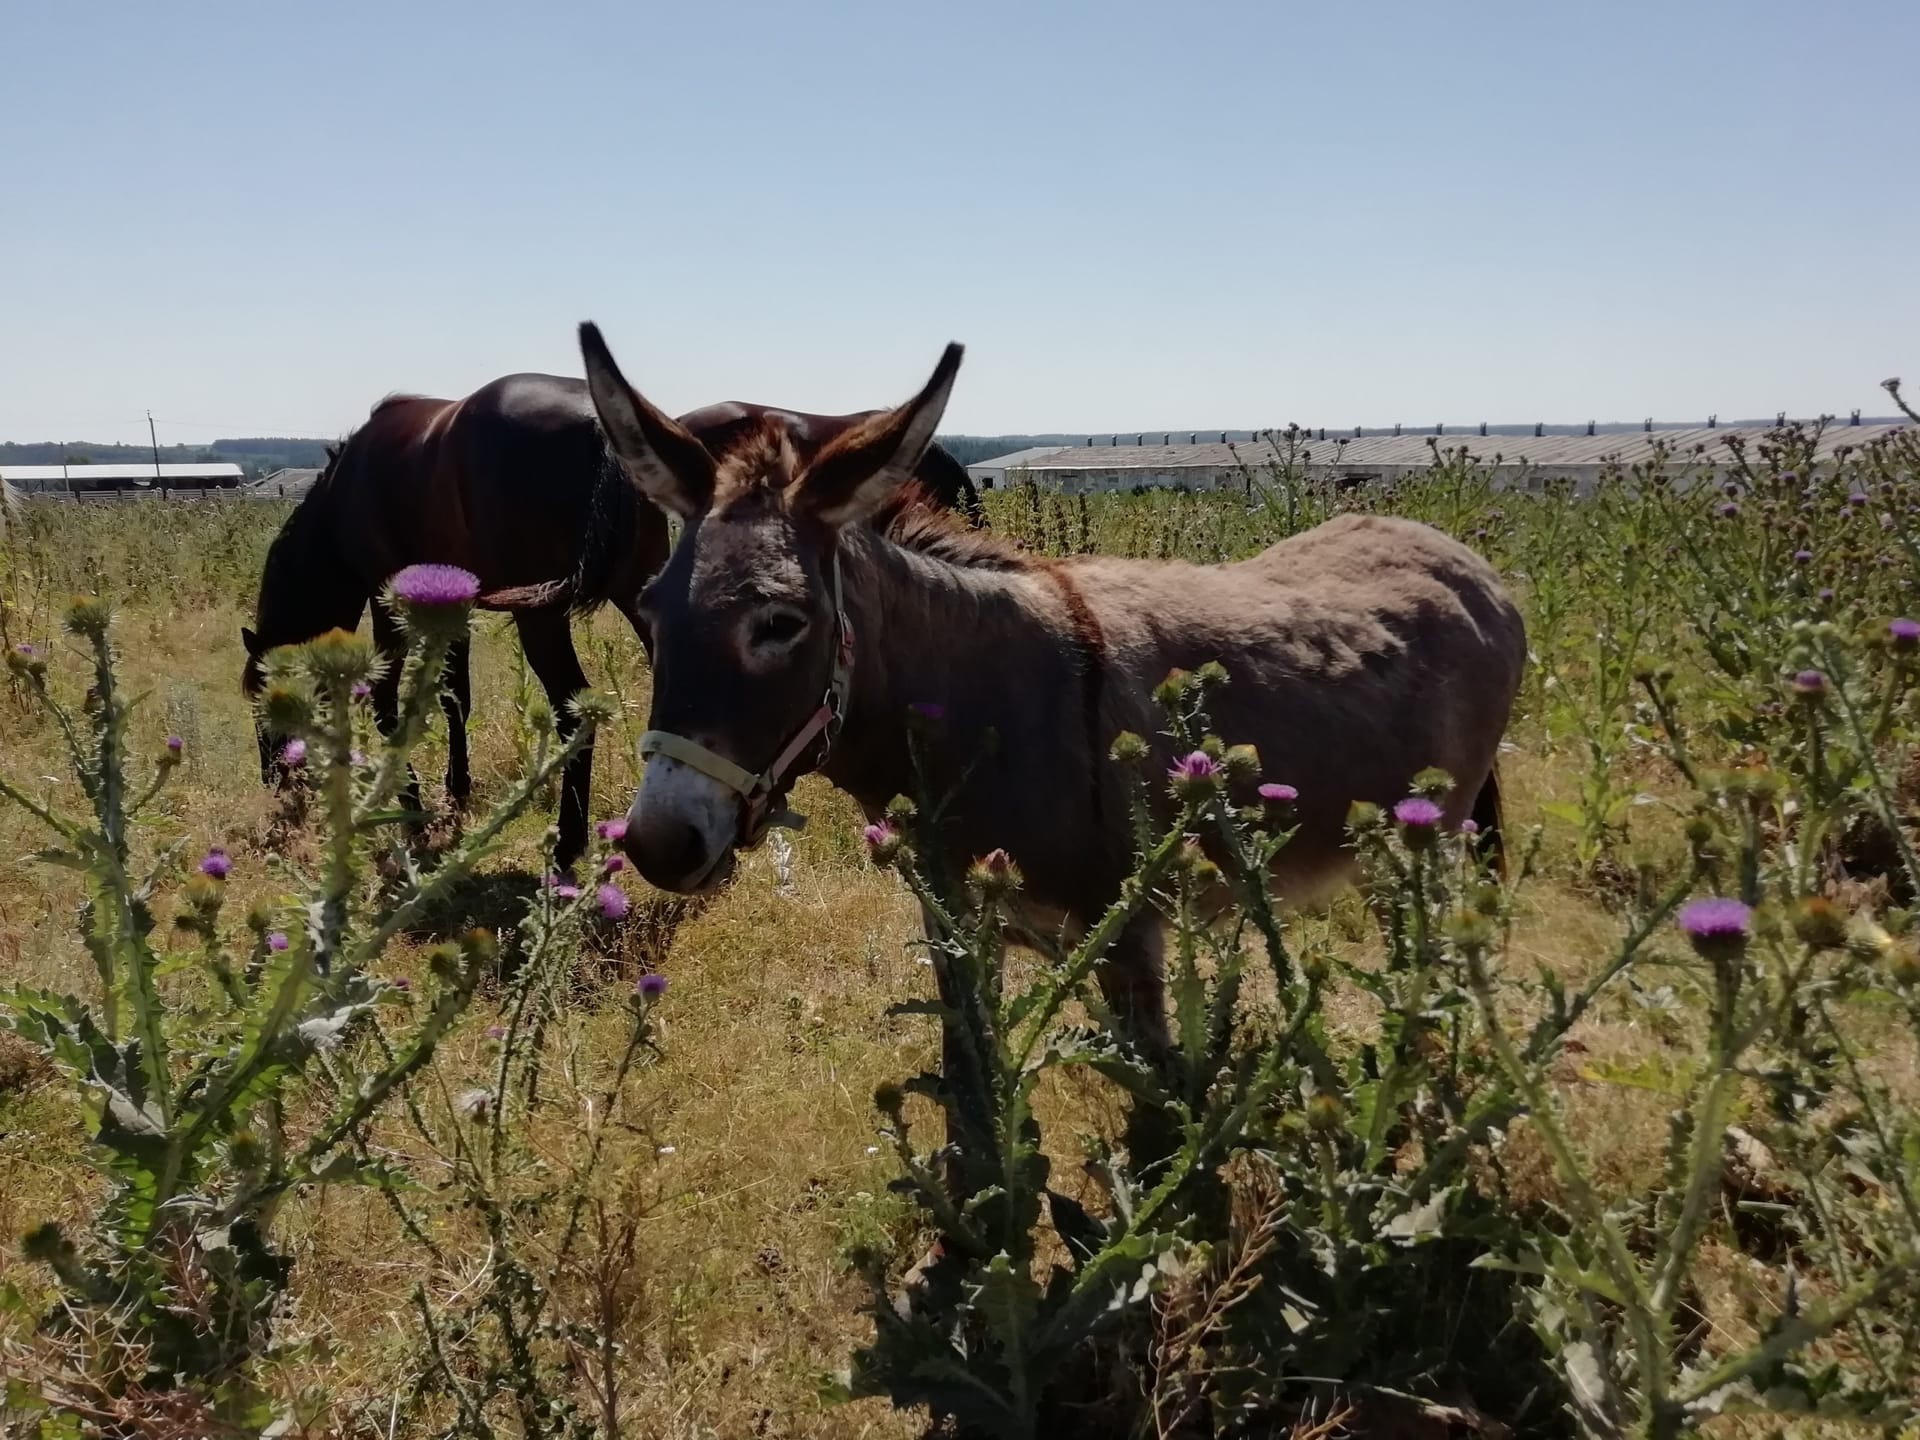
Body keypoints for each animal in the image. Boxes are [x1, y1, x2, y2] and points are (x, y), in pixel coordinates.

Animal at [241, 374, 983, 867]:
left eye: (260, 705)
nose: (275, 786)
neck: (347, 485)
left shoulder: (388, 596)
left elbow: (393, 696)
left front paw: (411, 800)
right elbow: (455, 696)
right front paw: (452, 789)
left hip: (546, 617)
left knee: (575, 708)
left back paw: (570, 845)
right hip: (643, 593)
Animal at [560, 320, 1520, 1052]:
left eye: (781, 624)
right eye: (649, 608)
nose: (656, 842)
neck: (986, 708)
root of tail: (1457, 555)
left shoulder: (1128, 941)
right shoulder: (957, 929)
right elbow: (972, 1097)